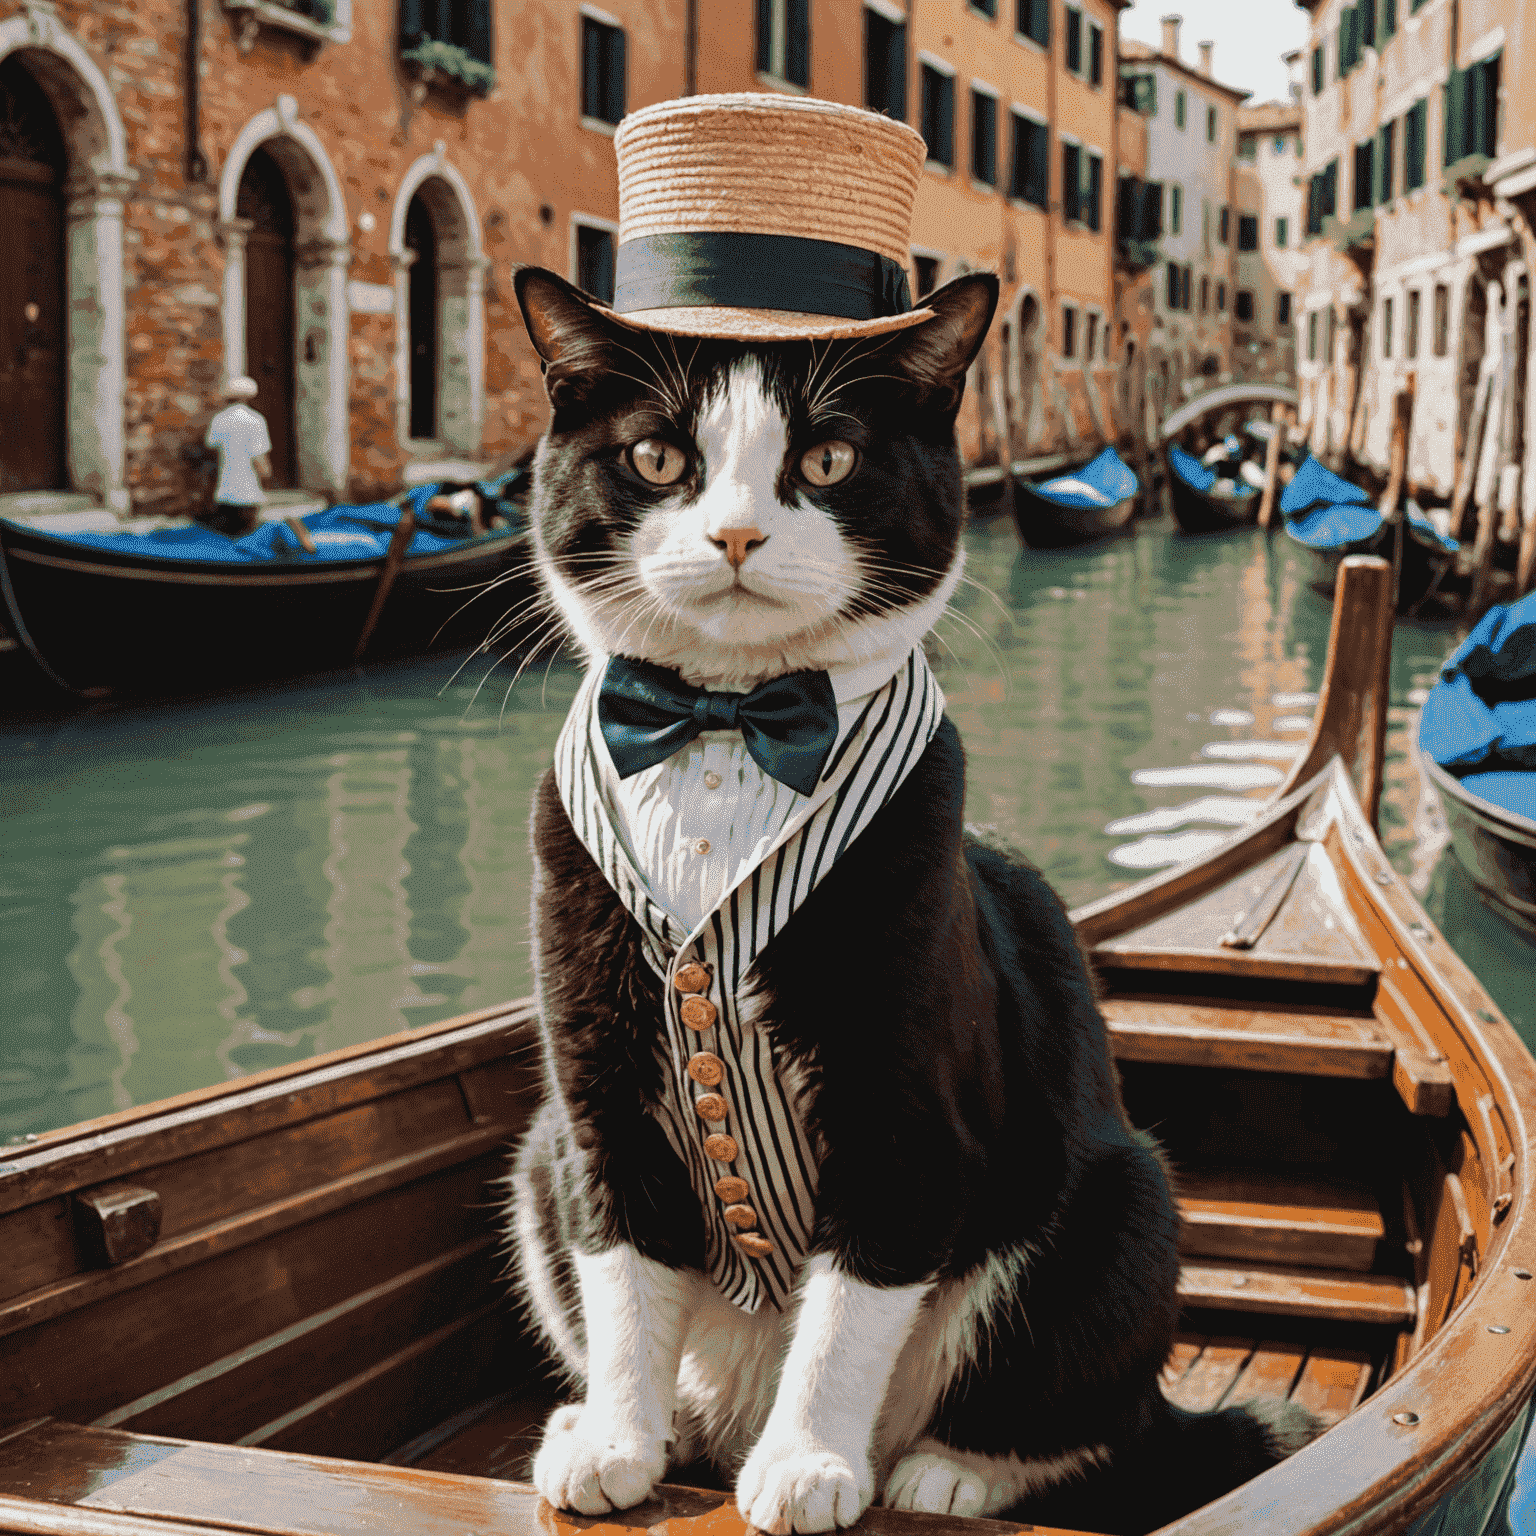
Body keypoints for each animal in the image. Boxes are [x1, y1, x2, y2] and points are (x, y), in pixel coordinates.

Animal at [503, 267, 1320, 1536]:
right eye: (656, 457)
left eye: (830, 459)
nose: (735, 532)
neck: (726, 733)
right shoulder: (595, 1083)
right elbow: (623, 1263)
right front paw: (617, 1441)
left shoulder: (908, 1092)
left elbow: (857, 1296)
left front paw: (805, 1464)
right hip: (534, 1160)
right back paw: (631, 1428)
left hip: (1123, 1207)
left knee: (1096, 1410)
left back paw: (951, 1467)